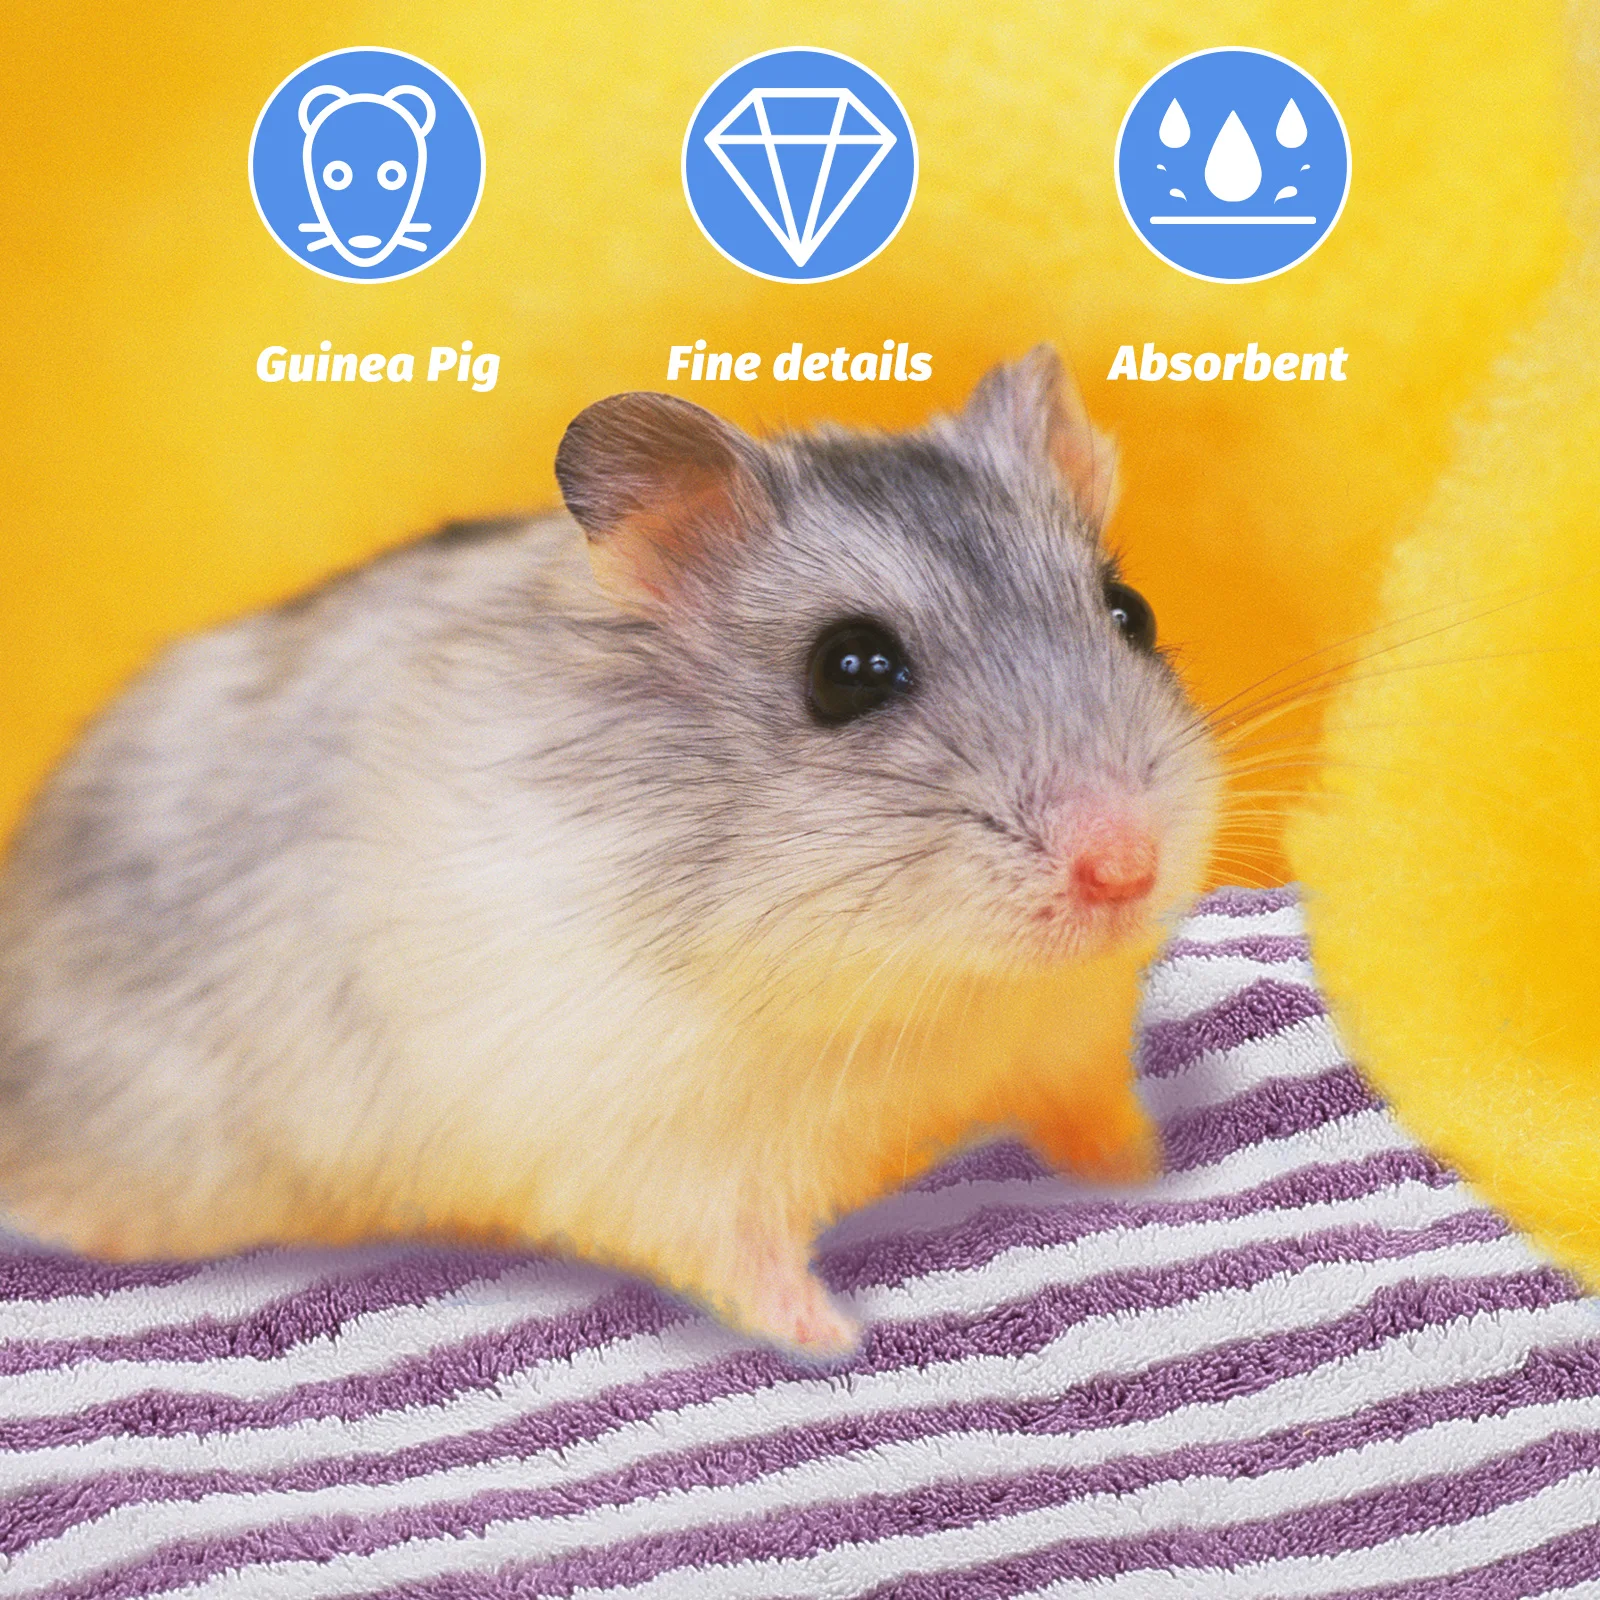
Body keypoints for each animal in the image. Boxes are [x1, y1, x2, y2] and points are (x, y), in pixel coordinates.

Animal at [0, 348, 1220, 1355]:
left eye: (1133, 611)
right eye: (849, 670)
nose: (1124, 869)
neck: (923, 988)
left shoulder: (1070, 1042)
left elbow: (1102, 1120)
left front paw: (1148, 1178)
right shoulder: (655, 1147)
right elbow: (741, 1258)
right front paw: (840, 1340)